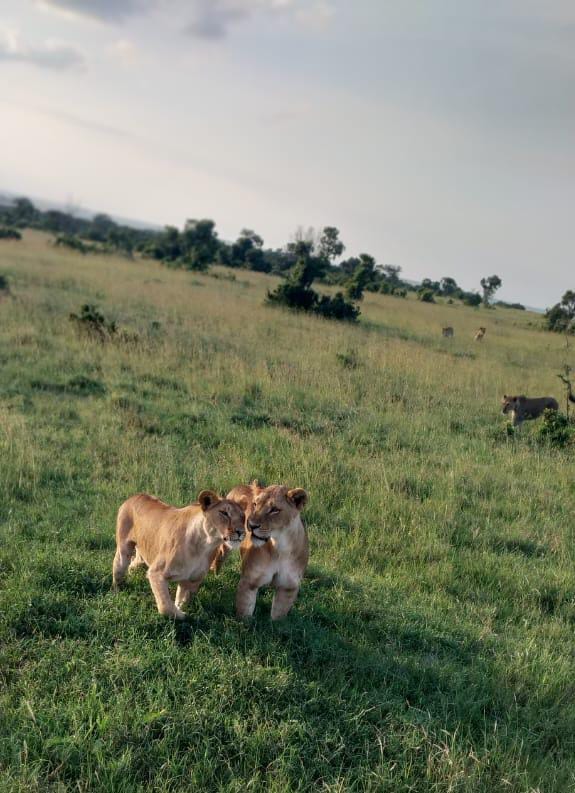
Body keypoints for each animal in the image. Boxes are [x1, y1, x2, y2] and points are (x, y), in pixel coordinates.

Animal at [112, 488, 245, 620]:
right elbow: (166, 607)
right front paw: (182, 615)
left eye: (243, 516)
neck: (205, 545)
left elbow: (182, 600)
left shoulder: (192, 580)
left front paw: (181, 609)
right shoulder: (156, 573)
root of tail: (135, 495)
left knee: (134, 563)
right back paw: (118, 590)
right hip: (124, 549)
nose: (241, 532)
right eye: (224, 513)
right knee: (118, 566)